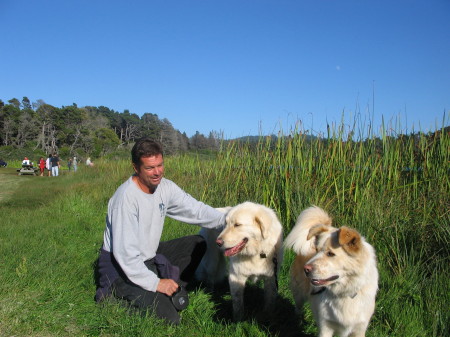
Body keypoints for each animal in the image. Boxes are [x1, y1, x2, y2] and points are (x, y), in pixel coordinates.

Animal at [284, 205, 380, 336]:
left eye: (330, 253)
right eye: (317, 250)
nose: (306, 269)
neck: (344, 293)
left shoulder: (359, 329)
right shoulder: (325, 326)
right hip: (298, 293)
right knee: (298, 307)